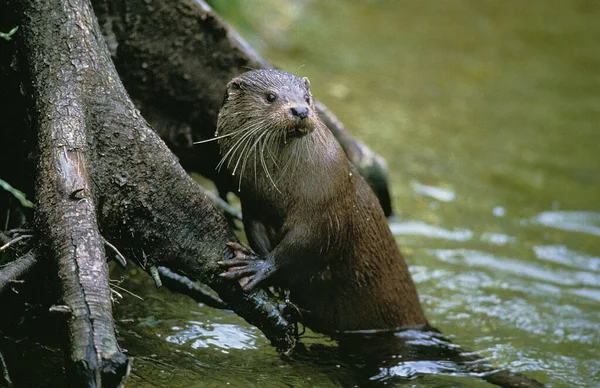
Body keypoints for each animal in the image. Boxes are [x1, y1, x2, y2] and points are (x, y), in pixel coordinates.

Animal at [216, 68, 426, 332]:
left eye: (307, 98)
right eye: (270, 97)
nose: (300, 110)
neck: (280, 189)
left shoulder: (327, 209)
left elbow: (304, 249)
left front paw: (257, 267)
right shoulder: (252, 204)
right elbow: (257, 233)